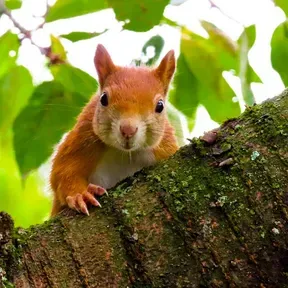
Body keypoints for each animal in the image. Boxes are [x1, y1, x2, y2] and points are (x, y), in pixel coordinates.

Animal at [50, 44, 180, 216]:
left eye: (160, 106)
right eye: (103, 98)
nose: (128, 130)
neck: (124, 154)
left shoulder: (165, 148)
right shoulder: (82, 138)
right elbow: (63, 173)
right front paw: (80, 195)